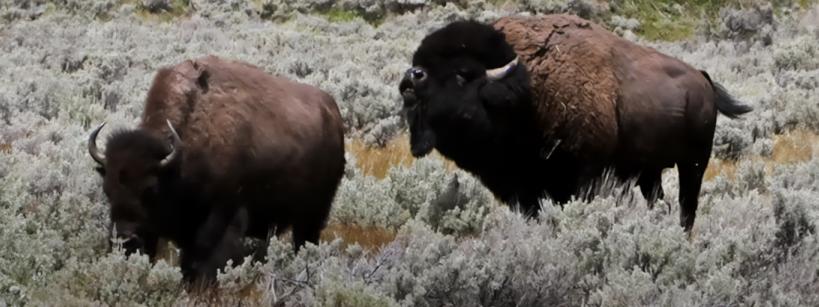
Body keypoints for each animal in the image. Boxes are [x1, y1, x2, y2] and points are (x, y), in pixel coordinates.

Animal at [89, 54, 346, 282]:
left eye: (150, 190)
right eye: (107, 190)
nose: (124, 241)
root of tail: (332, 111)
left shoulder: (222, 219)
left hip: (314, 213)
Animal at [400, 13, 752, 231]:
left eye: (461, 74)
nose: (411, 78)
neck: (527, 92)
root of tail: (702, 79)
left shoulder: (581, 178)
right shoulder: (522, 187)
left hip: (694, 163)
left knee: (687, 206)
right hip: (650, 171)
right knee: (659, 200)